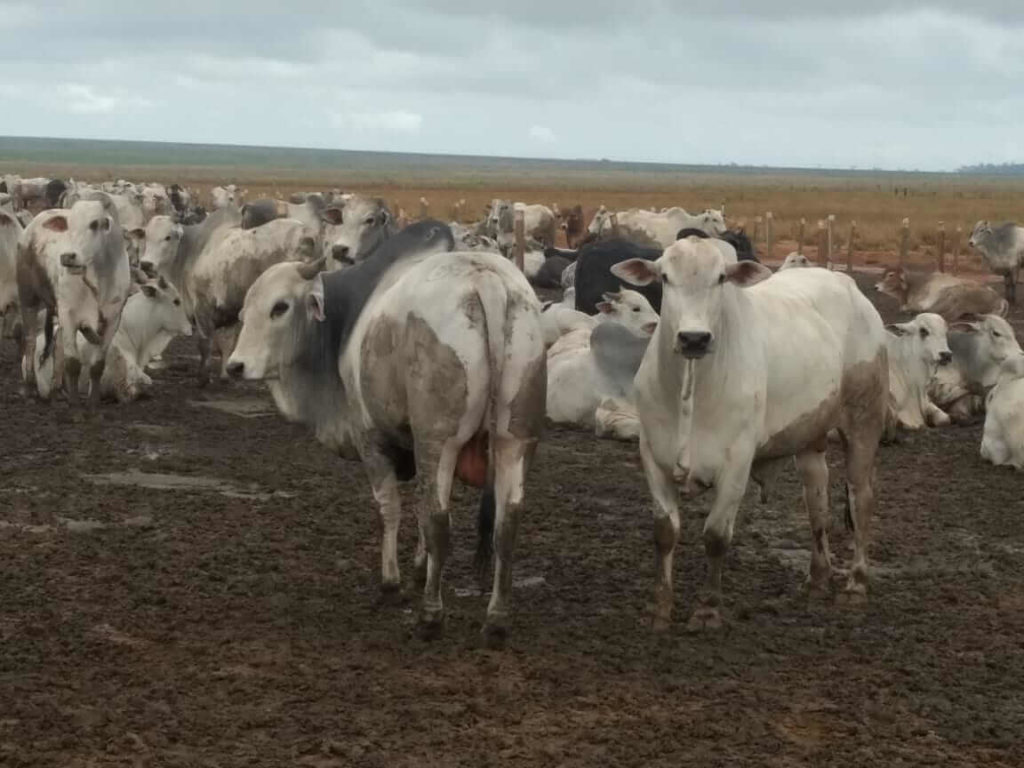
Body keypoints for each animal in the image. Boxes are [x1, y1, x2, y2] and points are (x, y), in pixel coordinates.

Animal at [17, 204, 130, 409]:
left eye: (94, 224)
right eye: (68, 225)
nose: (68, 256)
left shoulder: (112, 320)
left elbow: (97, 365)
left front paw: (93, 403)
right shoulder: (69, 315)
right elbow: (73, 363)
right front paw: (76, 405)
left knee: (58, 347)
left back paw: (57, 392)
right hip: (28, 298)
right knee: (29, 341)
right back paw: (29, 388)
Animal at [228, 222, 548, 651]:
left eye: (280, 307)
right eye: (244, 311)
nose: (235, 366)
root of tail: (486, 281)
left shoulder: (372, 441)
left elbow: (391, 509)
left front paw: (392, 582)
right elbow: (419, 509)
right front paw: (419, 568)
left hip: (439, 442)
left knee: (440, 522)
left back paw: (431, 616)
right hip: (513, 439)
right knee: (505, 524)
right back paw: (496, 620)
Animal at [610, 239, 892, 630]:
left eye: (721, 278)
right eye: (664, 277)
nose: (694, 338)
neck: (690, 390)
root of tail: (847, 285)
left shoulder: (737, 463)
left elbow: (716, 536)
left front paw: (708, 609)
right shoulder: (652, 456)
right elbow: (665, 533)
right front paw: (660, 607)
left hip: (863, 422)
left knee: (860, 499)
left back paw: (855, 585)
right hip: (810, 438)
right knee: (817, 503)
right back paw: (817, 579)